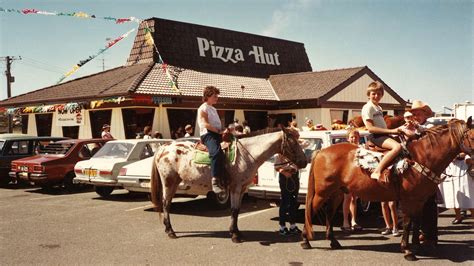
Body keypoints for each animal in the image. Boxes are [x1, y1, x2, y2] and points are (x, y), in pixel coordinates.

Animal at [150, 128, 310, 242]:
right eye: (293, 143)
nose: (304, 162)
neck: (246, 154)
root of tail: (163, 148)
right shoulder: (235, 188)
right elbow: (233, 210)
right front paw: (234, 235)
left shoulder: (242, 189)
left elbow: (237, 210)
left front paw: (237, 232)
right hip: (168, 182)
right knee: (165, 204)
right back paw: (171, 232)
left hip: (174, 182)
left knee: (167, 204)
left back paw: (168, 229)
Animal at [302, 118, 472, 260]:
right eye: (471, 136)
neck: (421, 158)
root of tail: (321, 151)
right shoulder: (409, 200)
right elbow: (408, 223)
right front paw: (407, 250)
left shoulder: (420, 200)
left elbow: (416, 222)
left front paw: (416, 246)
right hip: (322, 192)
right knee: (311, 210)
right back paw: (305, 241)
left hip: (337, 193)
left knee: (329, 213)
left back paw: (333, 242)